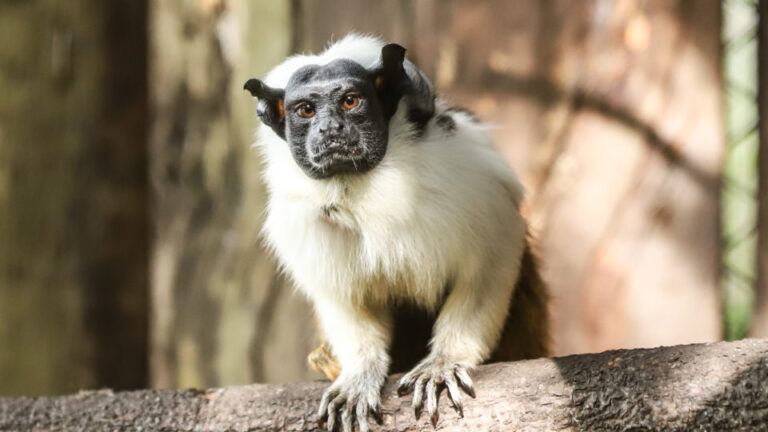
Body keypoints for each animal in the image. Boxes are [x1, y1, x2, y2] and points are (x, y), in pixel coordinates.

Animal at [243, 35, 548, 430]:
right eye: (306, 110)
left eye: (350, 101)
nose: (330, 130)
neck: (361, 191)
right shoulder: (304, 224)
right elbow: (345, 302)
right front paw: (358, 375)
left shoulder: (468, 186)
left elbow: (491, 262)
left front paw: (443, 362)